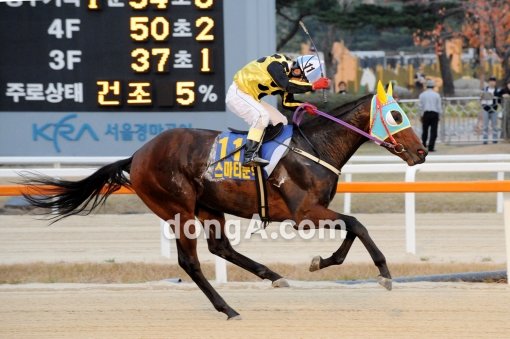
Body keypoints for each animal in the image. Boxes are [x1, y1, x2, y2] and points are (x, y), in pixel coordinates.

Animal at [22, 87, 426, 318]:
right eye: (396, 115)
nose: (421, 152)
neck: (315, 148)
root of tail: (137, 156)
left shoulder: (312, 212)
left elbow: (352, 228)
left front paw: (323, 262)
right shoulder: (304, 213)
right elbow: (357, 224)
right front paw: (383, 274)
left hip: (209, 207)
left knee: (221, 248)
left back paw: (273, 276)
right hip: (178, 209)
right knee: (190, 261)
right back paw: (227, 308)